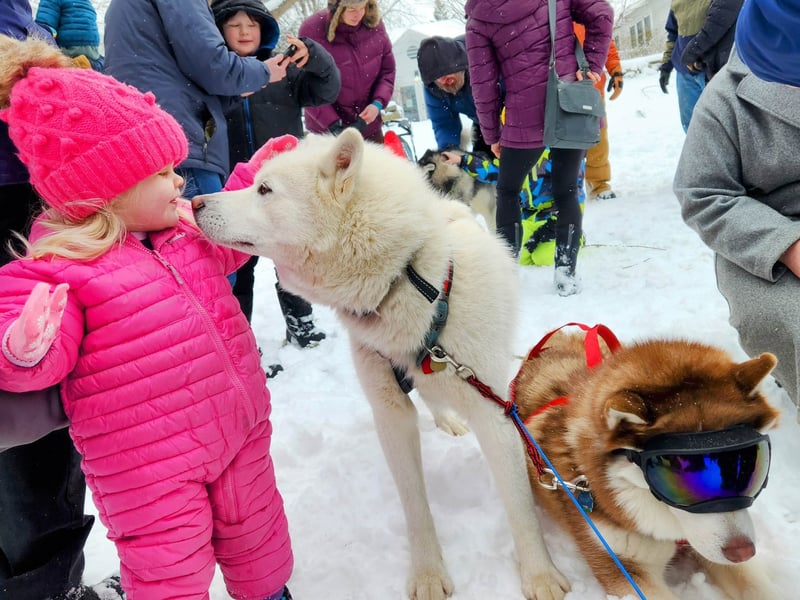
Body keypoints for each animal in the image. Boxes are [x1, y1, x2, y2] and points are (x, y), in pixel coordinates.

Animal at [192, 129, 570, 600]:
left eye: (264, 190)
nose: (194, 202)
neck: (412, 281)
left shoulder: (493, 410)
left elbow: (520, 506)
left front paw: (540, 574)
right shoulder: (390, 413)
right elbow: (414, 504)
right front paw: (427, 572)